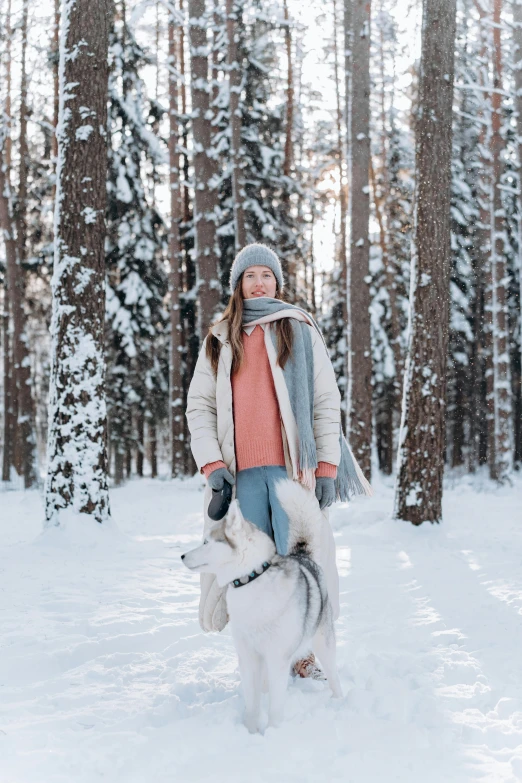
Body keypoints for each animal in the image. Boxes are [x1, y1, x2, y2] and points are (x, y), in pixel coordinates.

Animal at [181, 478, 344, 736]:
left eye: (206, 542)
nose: (182, 556)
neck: (251, 579)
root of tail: (302, 556)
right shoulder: (248, 657)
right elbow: (253, 703)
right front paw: (250, 732)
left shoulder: (277, 657)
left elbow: (275, 707)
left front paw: (273, 733)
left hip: (323, 643)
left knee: (333, 675)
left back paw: (340, 700)